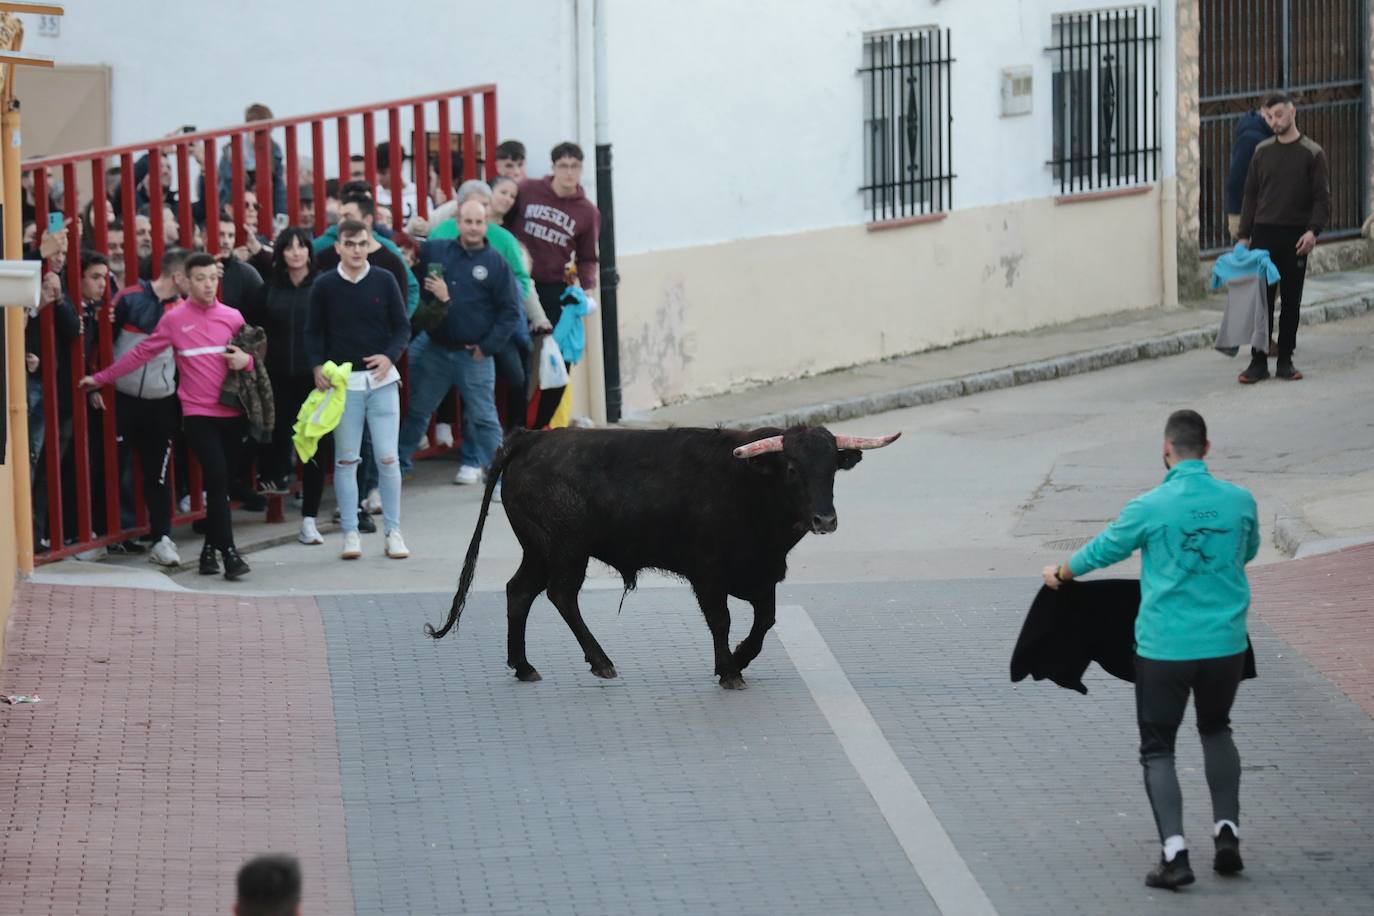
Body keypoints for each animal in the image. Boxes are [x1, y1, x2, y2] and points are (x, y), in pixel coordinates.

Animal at [425, 425, 901, 686]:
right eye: (791, 469)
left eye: (832, 469)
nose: (825, 519)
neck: (750, 487)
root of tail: (531, 438)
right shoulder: (708, 574)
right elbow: (721, 620)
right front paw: (729, 671)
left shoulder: (764, 575)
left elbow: (764, 622)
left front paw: (740, 659)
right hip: (565, 549)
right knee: (561, 595)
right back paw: (601, 663)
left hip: (538, 548)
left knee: (519, 591)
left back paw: (524, 666)